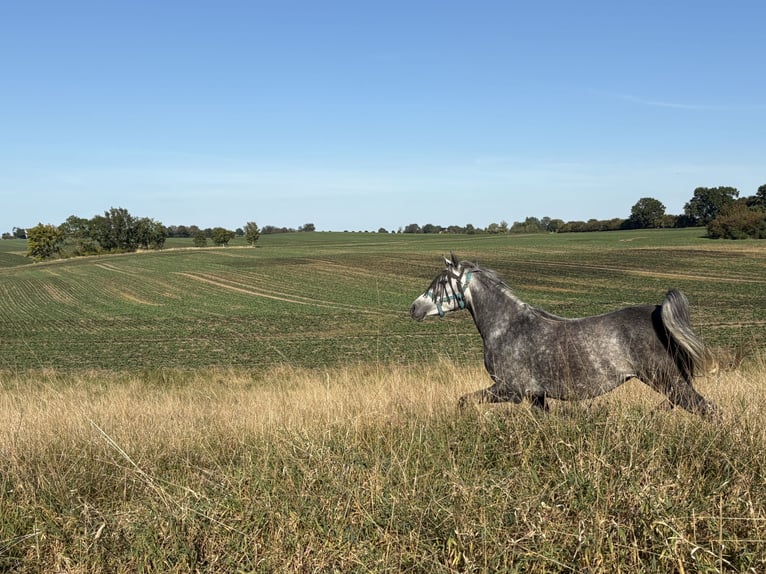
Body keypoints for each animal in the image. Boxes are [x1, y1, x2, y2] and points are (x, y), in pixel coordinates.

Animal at [409, 254, 719, 419]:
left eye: (440, 283)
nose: (414, 308)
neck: (507, 326)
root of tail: (658, 313)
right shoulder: (536, 396)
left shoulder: (510, 390)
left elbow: (464, 401)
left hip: (667, 381)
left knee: (709, 410)